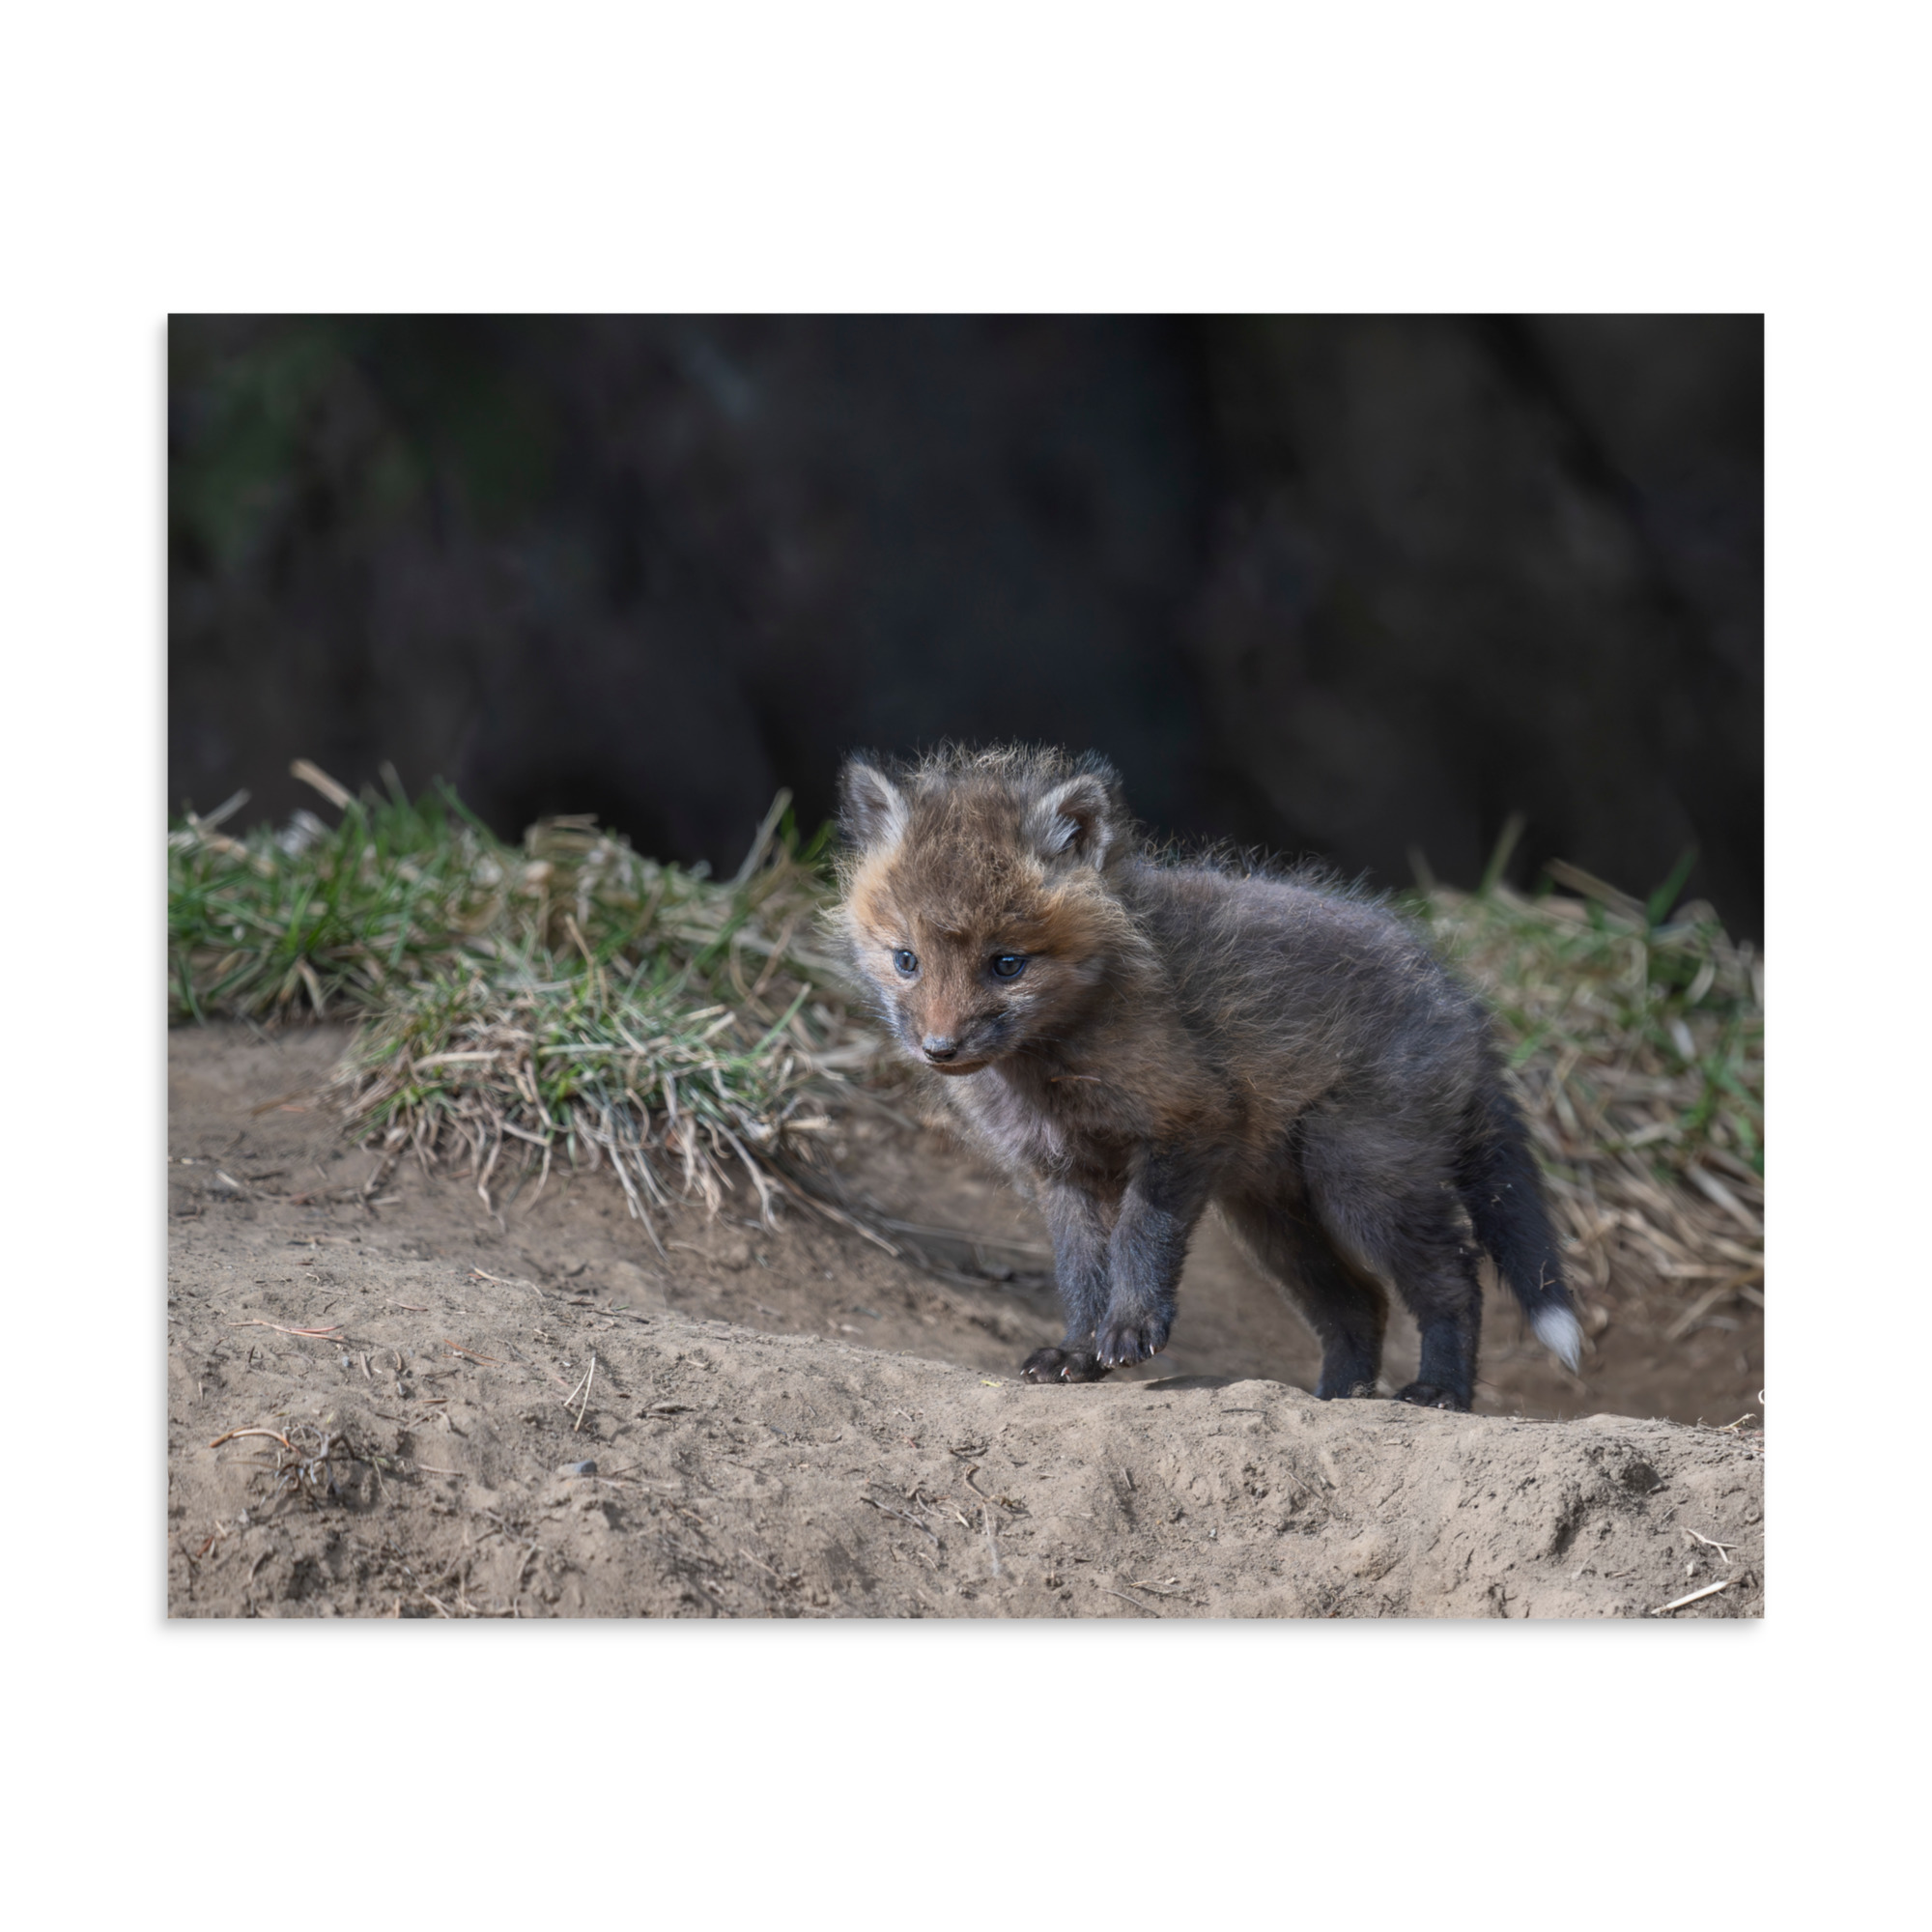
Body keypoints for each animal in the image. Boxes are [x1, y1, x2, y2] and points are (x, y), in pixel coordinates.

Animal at [832, 743, 1583, 1410]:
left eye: (1007, 964)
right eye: (906, 960)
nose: (940, 1049)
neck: (1052, 1069)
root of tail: (1462, 1000)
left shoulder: (1188, 1122)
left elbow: (1140, 1238)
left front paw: (1131, 1328)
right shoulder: (1062, 1171)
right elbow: (1080, 1272)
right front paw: (1077, 1351)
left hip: (1361, 1180)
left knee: (1454, 1278)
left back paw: (1440, 1392)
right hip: (1274, 1218)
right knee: (1360, 1303)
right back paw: (1337, 1398)